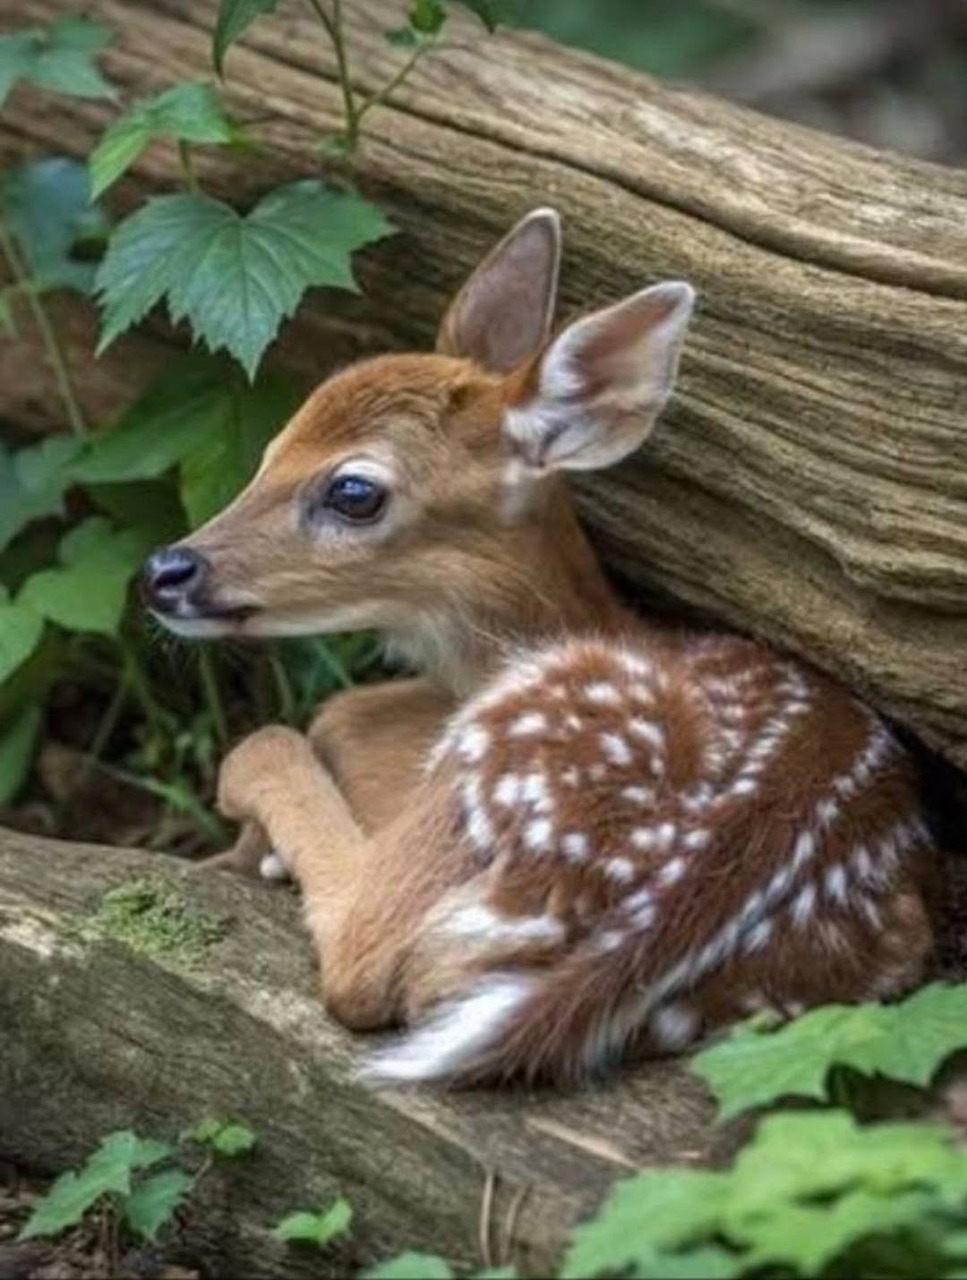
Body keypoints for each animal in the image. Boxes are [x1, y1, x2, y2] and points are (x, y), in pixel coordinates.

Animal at [140, 208, 936, 1087]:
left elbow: (293, 736)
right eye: (272, 447)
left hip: (495, 761)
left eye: (353, 491)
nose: (164, 571)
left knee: (355, 951)